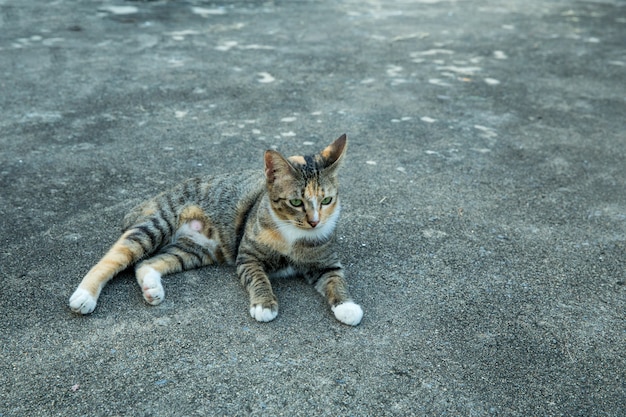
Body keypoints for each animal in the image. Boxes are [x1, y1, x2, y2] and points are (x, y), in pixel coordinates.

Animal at [67, 133, 360, 324]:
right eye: (296, 202)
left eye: (326, 200)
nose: (315, 221)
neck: (295, 235)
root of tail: (160, 194)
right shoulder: (247, 257)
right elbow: (259, 278)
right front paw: (264, 304)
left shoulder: (326, 261)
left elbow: (336, 279)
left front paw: (347, 307)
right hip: (158, 224)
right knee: (114, 257)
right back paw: (84, 295)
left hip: (195, 250)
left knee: (145, 263)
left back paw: (152, 288)